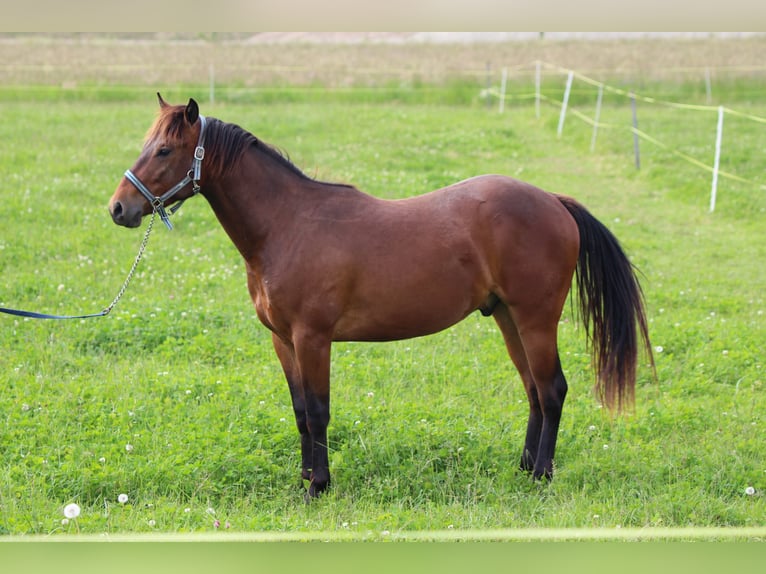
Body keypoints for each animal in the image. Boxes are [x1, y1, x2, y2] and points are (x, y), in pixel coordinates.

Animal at [108, 95, 656, 500]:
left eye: (164, 151)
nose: (119, 208)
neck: (287, 225)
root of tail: (554, 202)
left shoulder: (313, 338)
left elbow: (318, 410)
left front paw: (319, 486)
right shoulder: (283, 341)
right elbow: (299, 411)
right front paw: (304, 478)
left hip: (536, 318)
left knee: (552, 389)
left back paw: (541, 475)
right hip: (507, 318)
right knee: (534, 392)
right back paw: (523, 468)